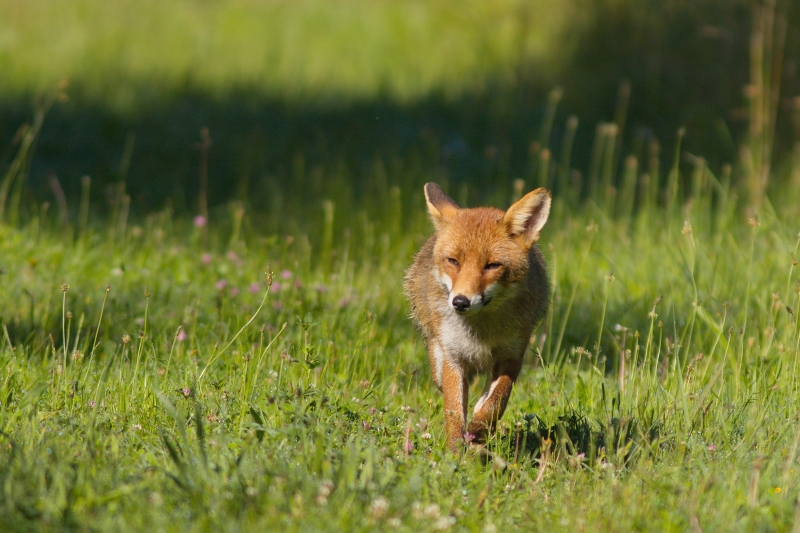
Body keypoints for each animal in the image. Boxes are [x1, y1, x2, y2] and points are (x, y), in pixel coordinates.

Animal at [406, 182, 552, 448]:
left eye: (492, 265)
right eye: (453, 261)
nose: (460, 302)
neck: (481, 333)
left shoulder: (512, 356)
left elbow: (495, 403)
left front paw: (479, 430)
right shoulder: (454, 359)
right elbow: (454, 413)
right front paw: (454, 452)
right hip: (438, 359)